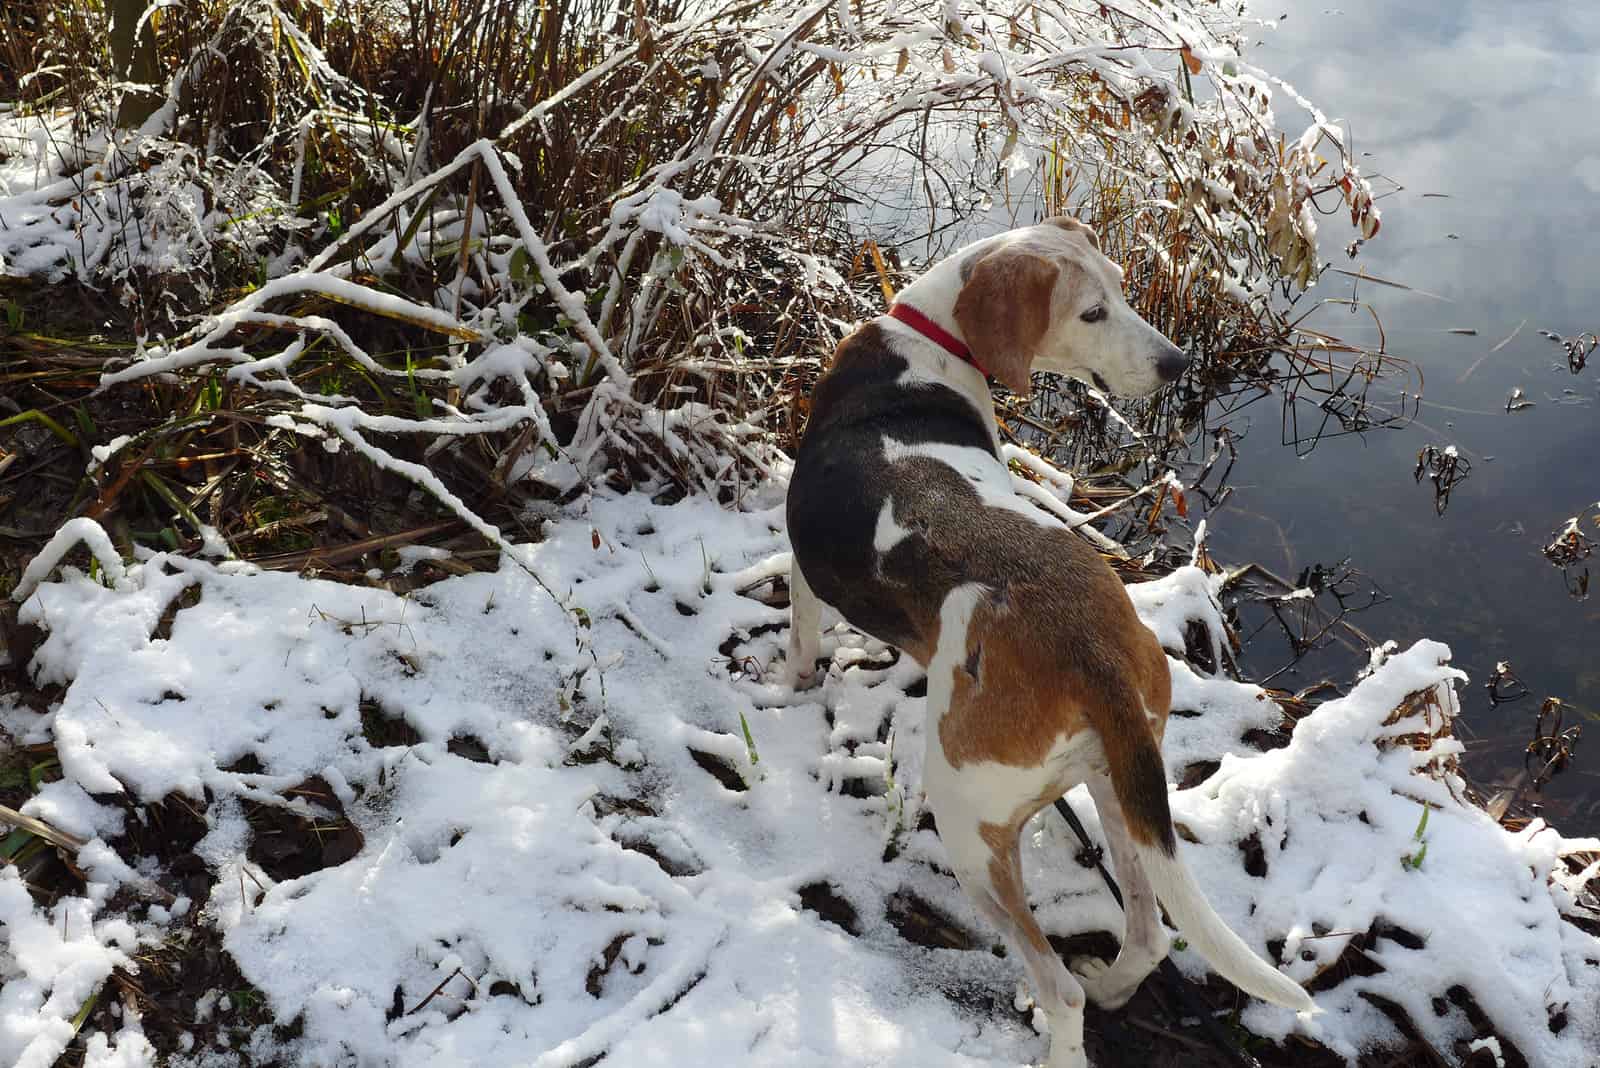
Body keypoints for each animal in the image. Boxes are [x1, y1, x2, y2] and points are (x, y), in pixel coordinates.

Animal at [784, 217, 1312, 1068]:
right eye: (1098, 307)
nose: (1176, 363)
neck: (926, 344)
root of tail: (1088, 651)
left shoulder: (804, 569)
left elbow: (799, 644)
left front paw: (786, 688)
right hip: (1118, 782)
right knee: (1147, 934)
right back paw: (1116, 983)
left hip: (969, 827)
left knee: (1060, 991)